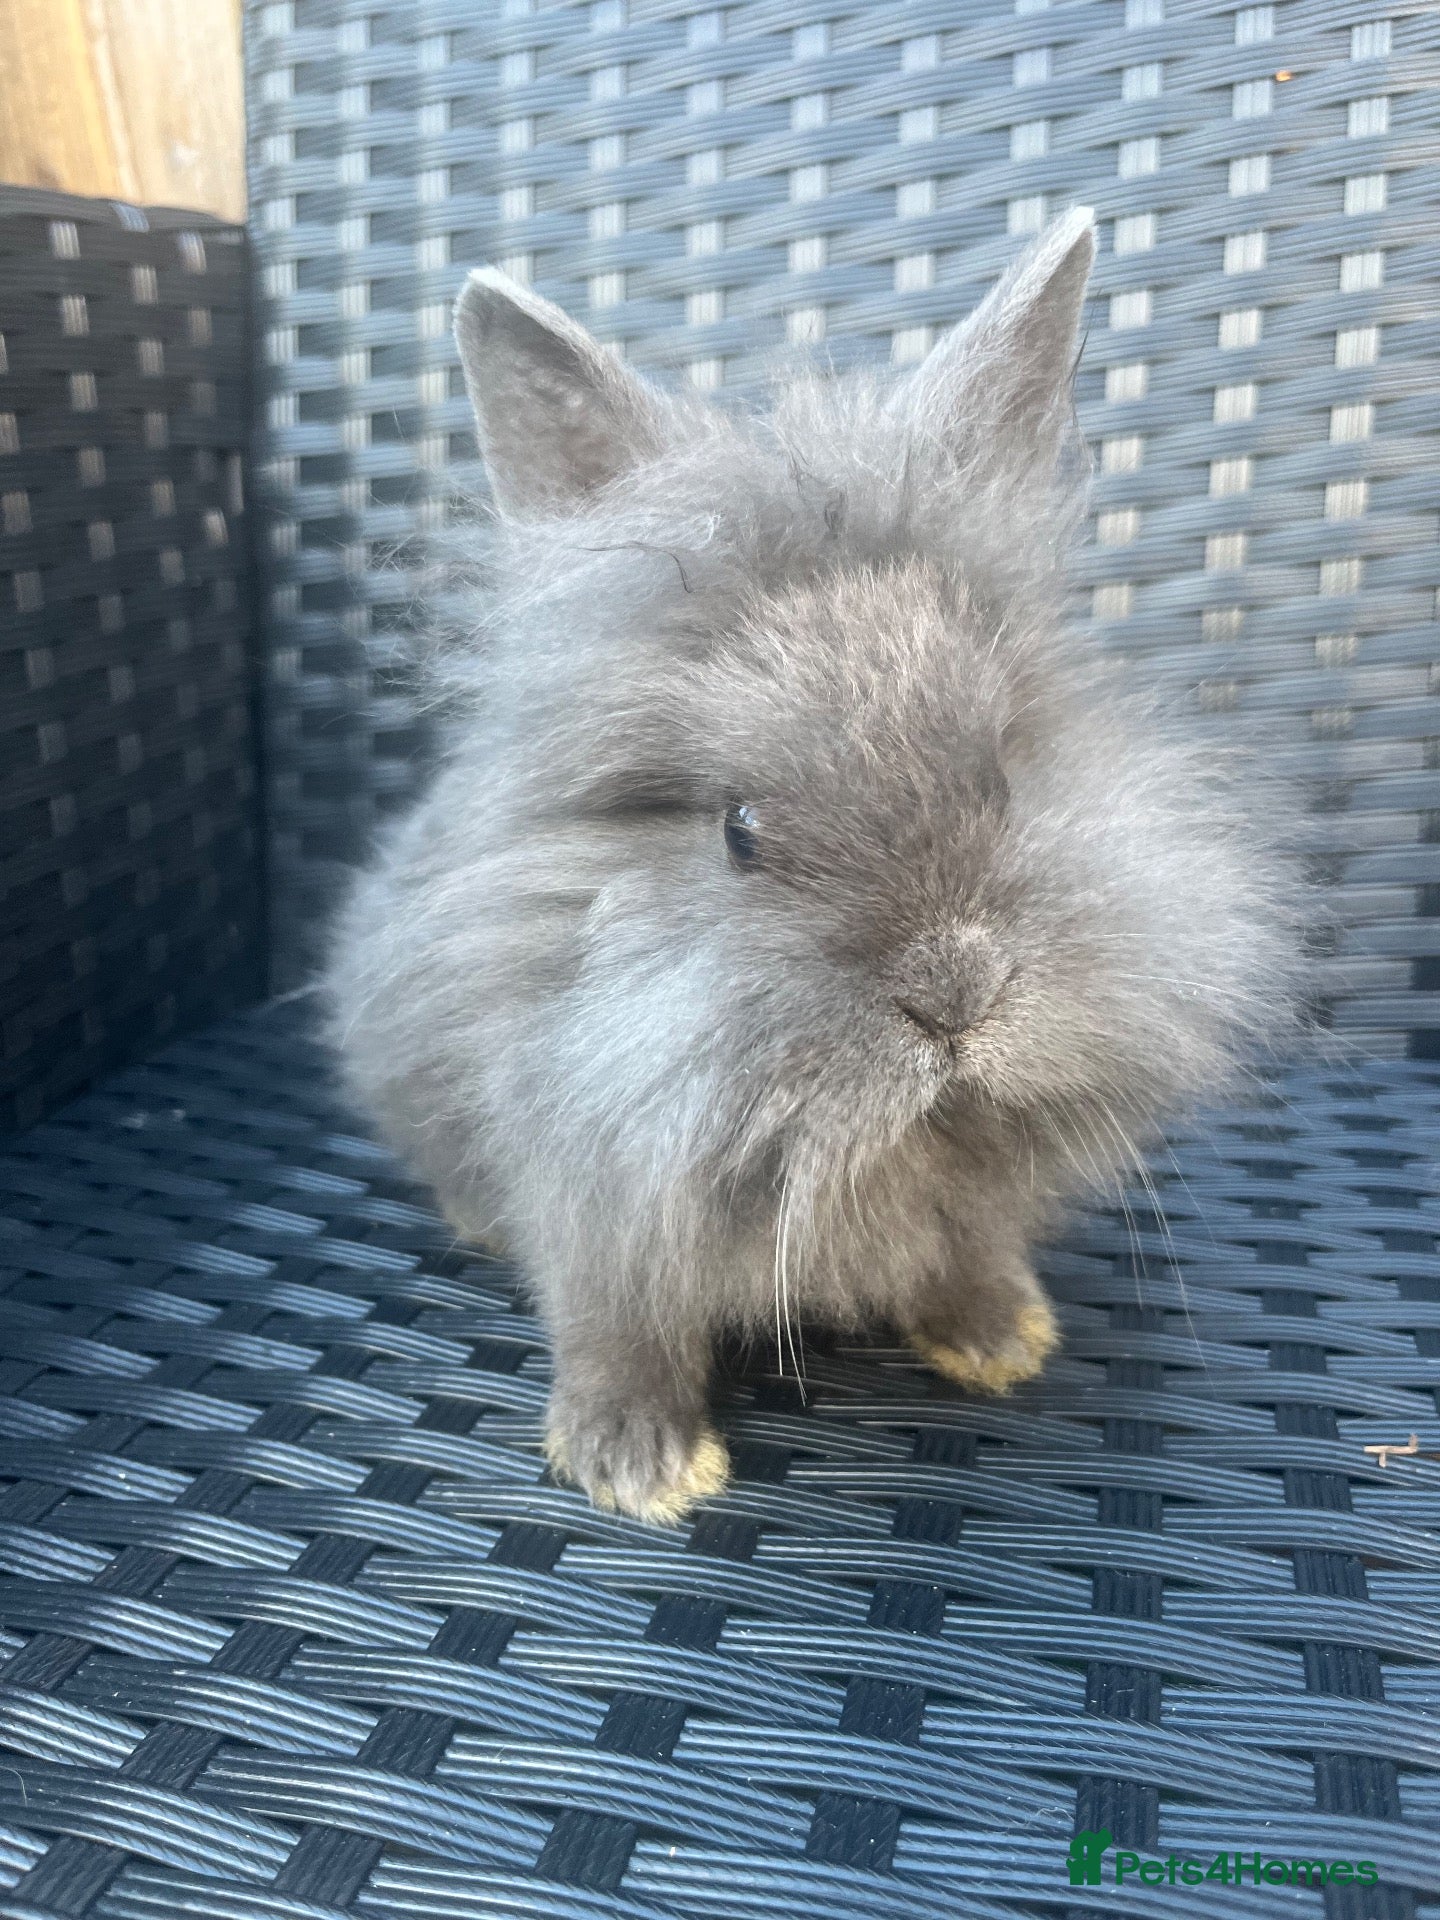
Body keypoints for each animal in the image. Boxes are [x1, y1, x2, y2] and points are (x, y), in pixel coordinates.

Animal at [327, 208, 1302, 1523]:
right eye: (739, 826)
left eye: (1004, 774)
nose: (954, 994)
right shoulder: (589, 1179)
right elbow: (611, 1321)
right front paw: (637, 1465)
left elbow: (969, 1247)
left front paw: (1002, 1338)